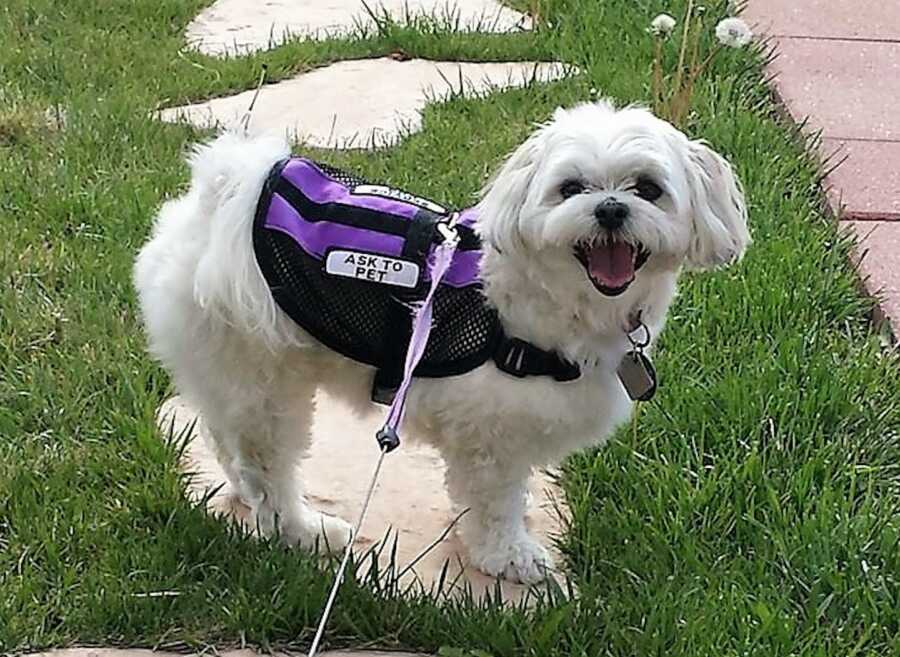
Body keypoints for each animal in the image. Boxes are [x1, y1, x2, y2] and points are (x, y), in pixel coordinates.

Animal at [134, 100, 748, 580]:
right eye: (571, 189)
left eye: (648, 189)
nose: (611, 209)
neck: (557, 302)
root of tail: (224, 196)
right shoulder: (491, 435)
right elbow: (495, 501)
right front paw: (509, 557)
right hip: (261, 370)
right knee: (269, 464)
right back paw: (304, 531)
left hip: (227, 365)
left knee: (227, 436)